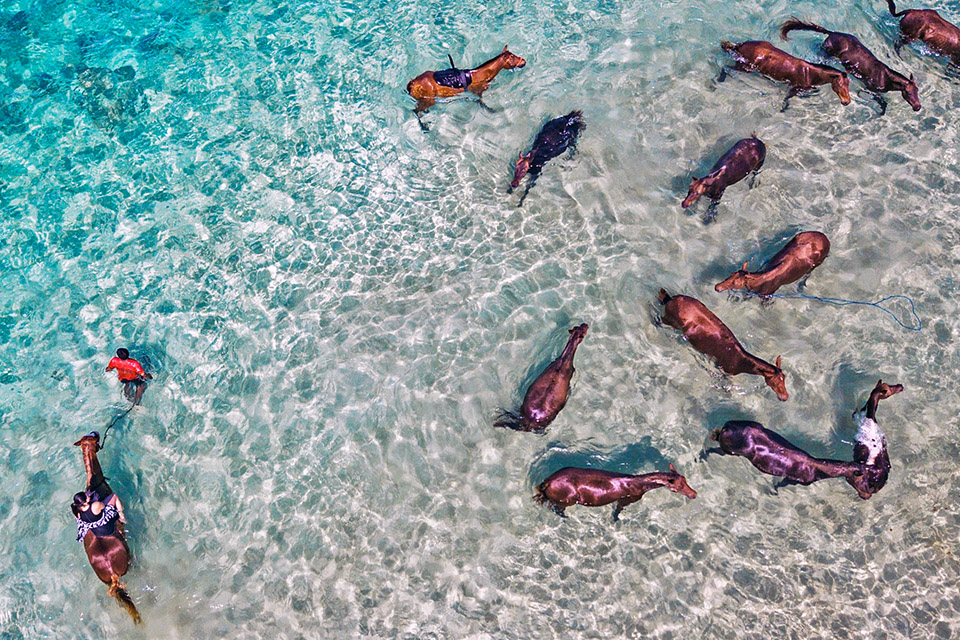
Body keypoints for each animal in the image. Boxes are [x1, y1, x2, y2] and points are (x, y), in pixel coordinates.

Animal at [534, 464, 697, 521]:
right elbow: (617, 512)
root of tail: (547, 483)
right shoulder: (626, 500)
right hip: (568, 500)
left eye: (685, 480)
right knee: (558, 509)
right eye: (679, 487)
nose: (693, 494)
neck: (638, 483)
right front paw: (616, 520)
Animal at [658, 289, 788, 401]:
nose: (785, 397)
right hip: (670, 320)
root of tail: (670, 299)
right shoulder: (724, 370)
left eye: (784, 378)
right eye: (775, 381)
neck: (741, 360)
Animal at [720, 40, 851, 111]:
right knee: (725, 68)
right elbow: (787, 99)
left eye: (848, 85)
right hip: (745, 68)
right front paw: (783, 109)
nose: (847, 102)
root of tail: (740, 45)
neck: (810, 73)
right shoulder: (794, 87)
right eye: (840, 85)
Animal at [780, 18, 921, 113]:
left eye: (917, 91)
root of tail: (831, 33)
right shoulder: (870, 88)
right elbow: (882, 103)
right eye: (908, 92)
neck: (885, 77)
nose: (918, 107)